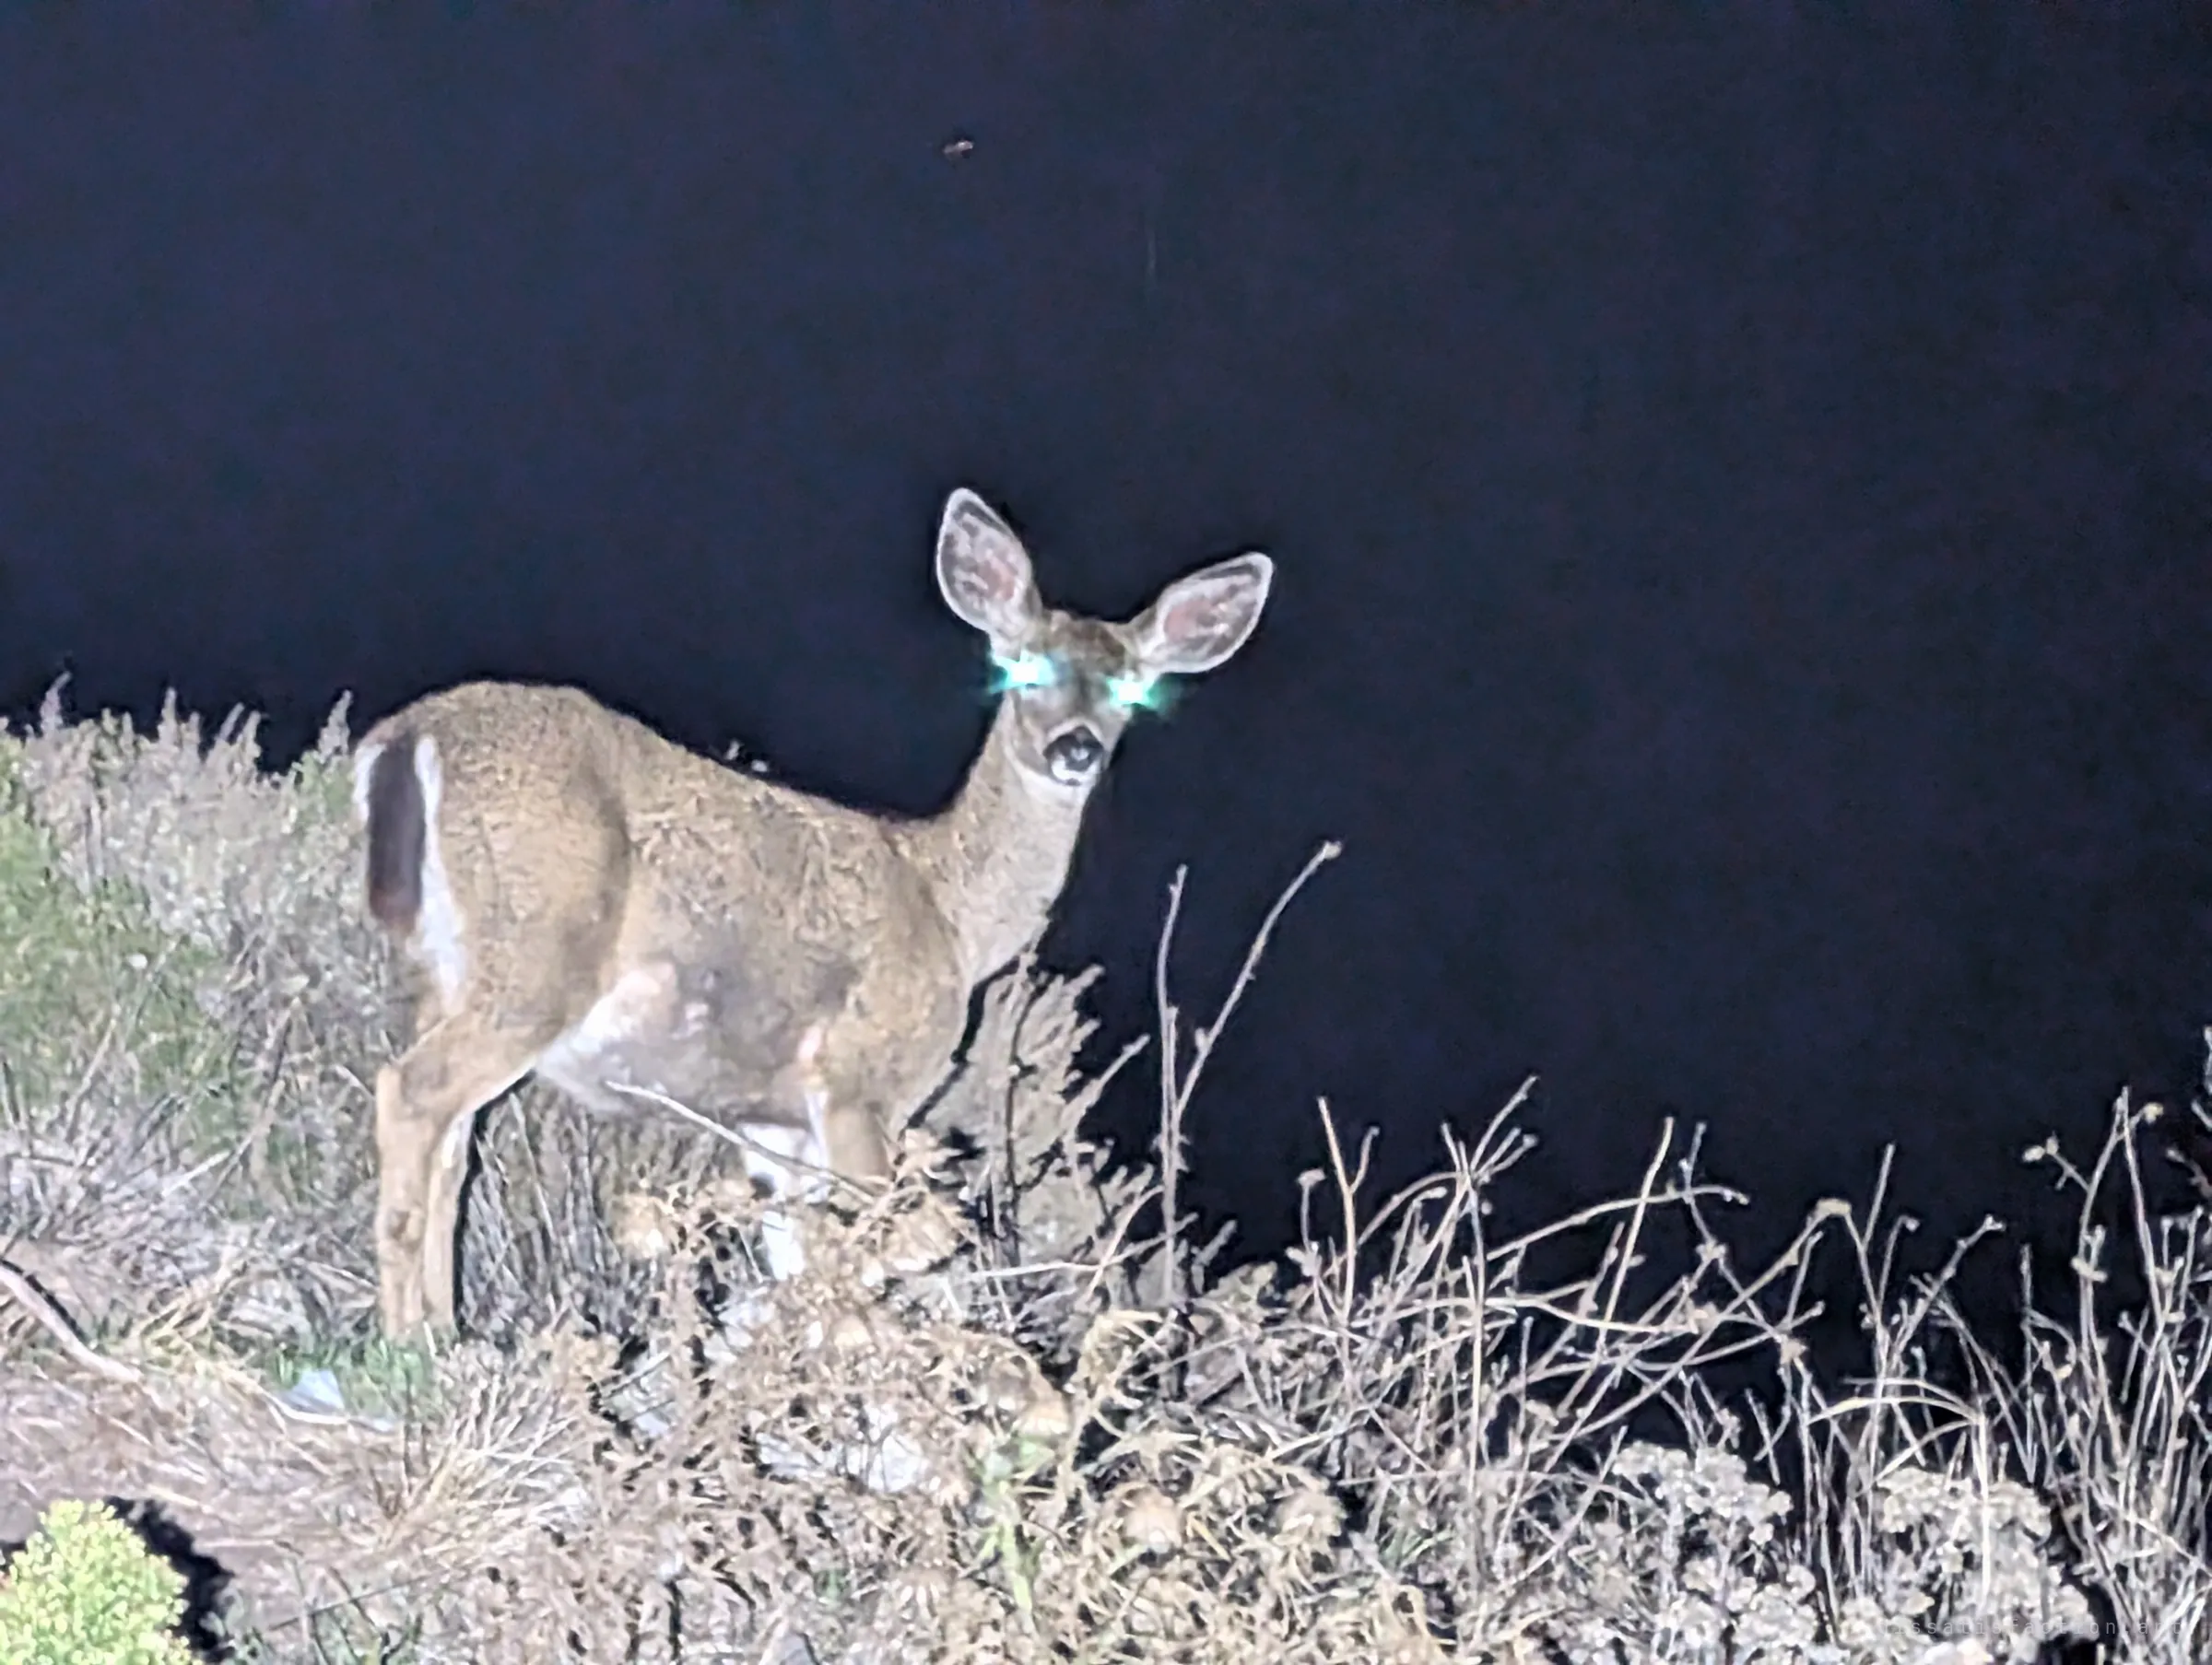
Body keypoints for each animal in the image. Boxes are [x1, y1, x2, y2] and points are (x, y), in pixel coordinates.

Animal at [351, 487, 1275, 1340]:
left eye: (1131, 687)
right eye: (1025, 670)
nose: (1075, 746)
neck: (952, 914)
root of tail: (410, 735)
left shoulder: (775, 1124)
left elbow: (800, 1265)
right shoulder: (860, 1078)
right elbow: (878, 1260)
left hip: (447, 963)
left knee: (451, 1139)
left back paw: (448, 1332)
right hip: (540, 952)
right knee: (412, 1092)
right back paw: (410, 1339)